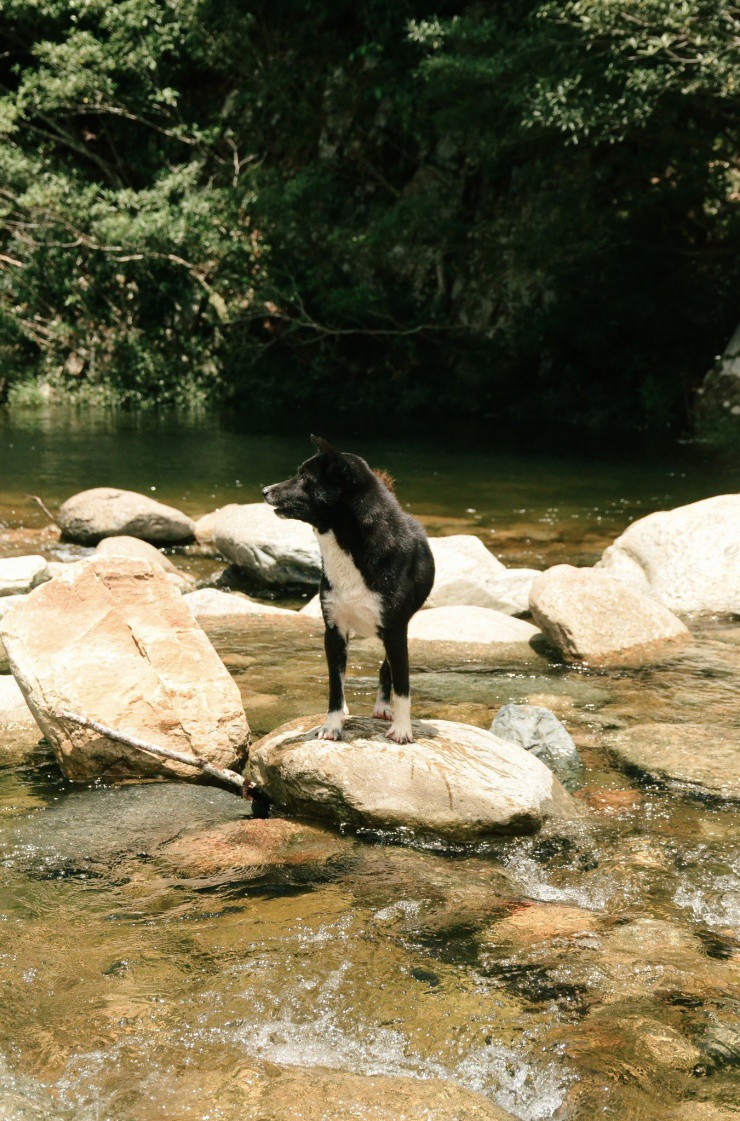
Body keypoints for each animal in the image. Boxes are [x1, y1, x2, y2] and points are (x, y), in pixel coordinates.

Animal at [261, 437, 432, 744]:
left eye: (304, 478)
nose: (265, 490)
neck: (350, 548)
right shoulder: (334, 630)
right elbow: (334, 685)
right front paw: (333, 725)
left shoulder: (396, 630)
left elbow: (402, 685)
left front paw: (402, 729)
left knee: (387, 670)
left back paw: (383, 708)